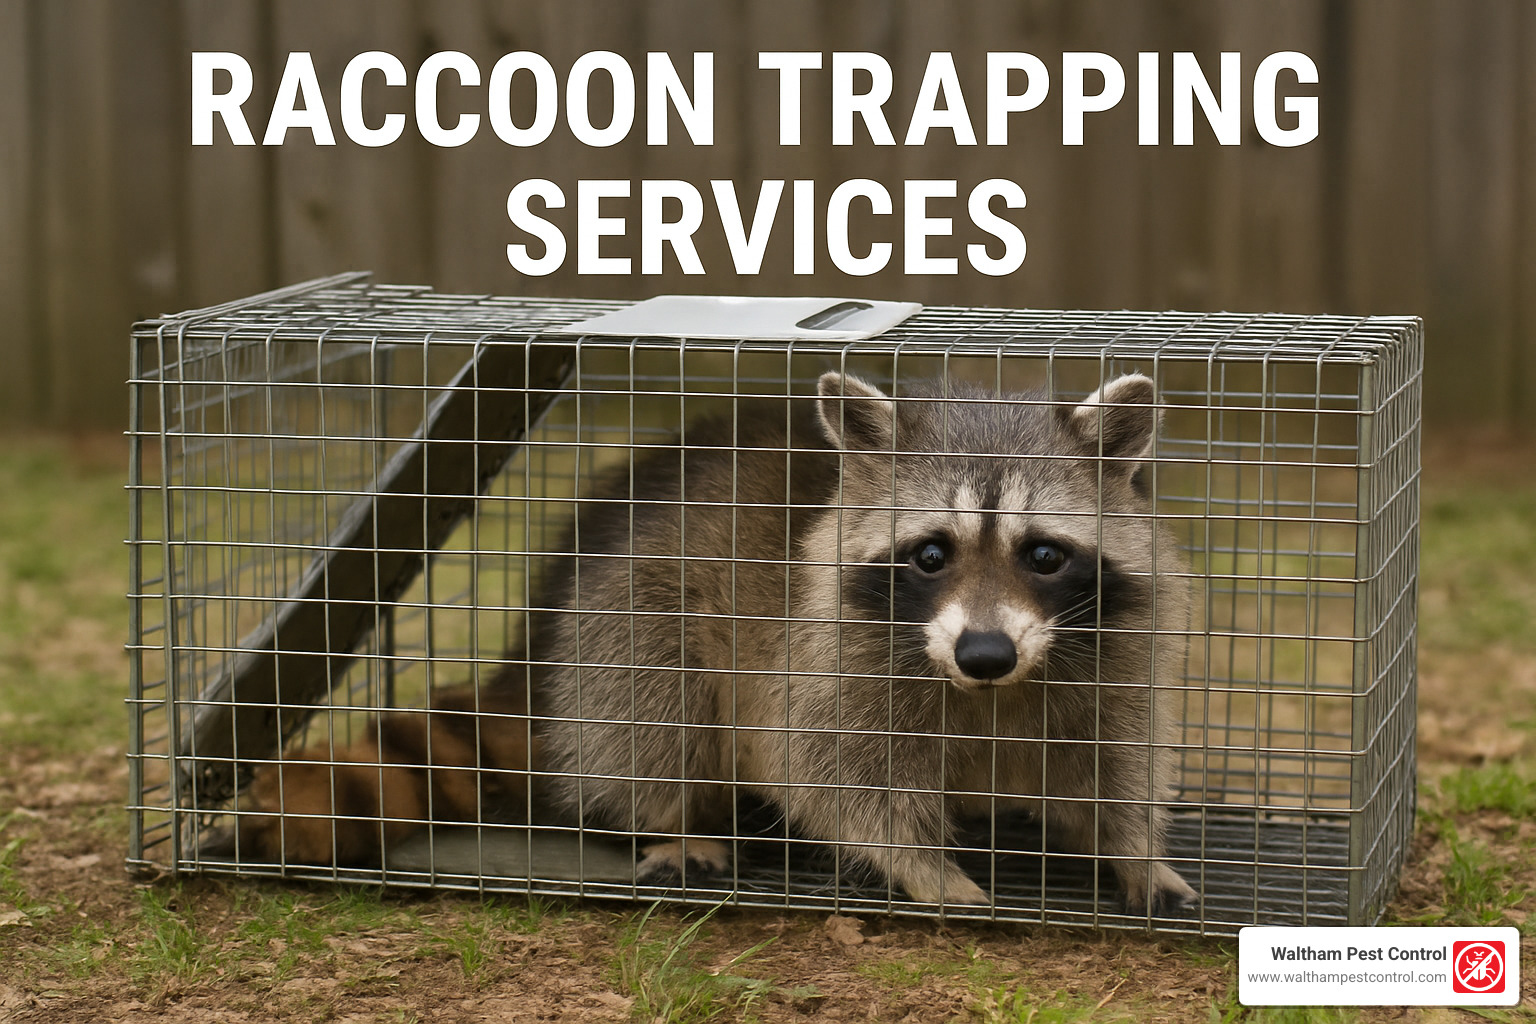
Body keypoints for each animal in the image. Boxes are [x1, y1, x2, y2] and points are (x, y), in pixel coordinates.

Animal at [533, 371, 1197, 914]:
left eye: (1042, 555)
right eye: (930, 555)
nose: (985, 656)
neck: (990, 691)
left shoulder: (1119, 654)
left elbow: (1116, 759)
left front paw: (1135, 849)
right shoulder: (826, 659)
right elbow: (837, 776)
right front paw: (925, 867)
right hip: (637, 600)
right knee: (651, 721)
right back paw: (677, 824)